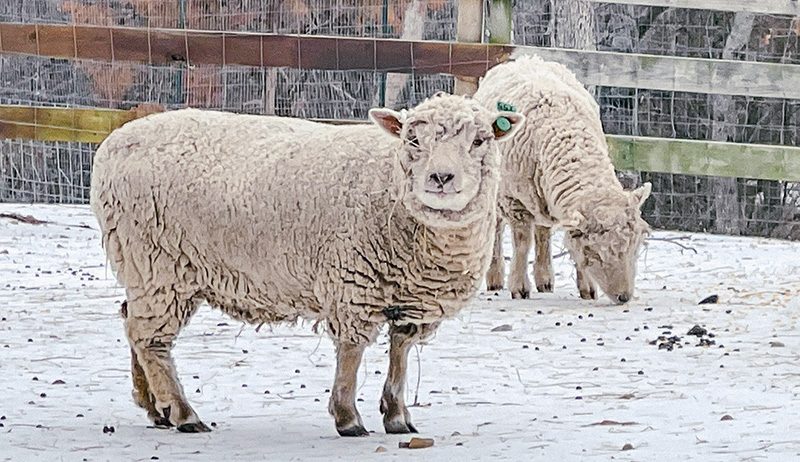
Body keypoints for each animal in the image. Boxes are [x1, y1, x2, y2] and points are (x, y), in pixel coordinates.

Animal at [90, 94, 523, 436]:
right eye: (414, 140)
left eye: (480, 140)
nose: (441, 177)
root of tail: (113, 143)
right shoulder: (354, 280)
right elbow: (351, 352)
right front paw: (347, 417)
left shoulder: (412, 297)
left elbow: (400, 350)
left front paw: (397, 415)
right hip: (158, 263)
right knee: (150, 339)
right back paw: (183, 413)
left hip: (147, 269)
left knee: (132, 323)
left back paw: (155, 407)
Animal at [474, 55, 651, 304]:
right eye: (594, 251)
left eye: (635, 246)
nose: (624, 297)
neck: (565, 131)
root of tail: (526, 58)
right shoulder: (513, 200)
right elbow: (522, 242)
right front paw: (519, 287)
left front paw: (587, 289)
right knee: (498, 230)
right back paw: (495, 277)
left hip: (539, 195)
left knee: (543, 232)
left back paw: (545, 279)